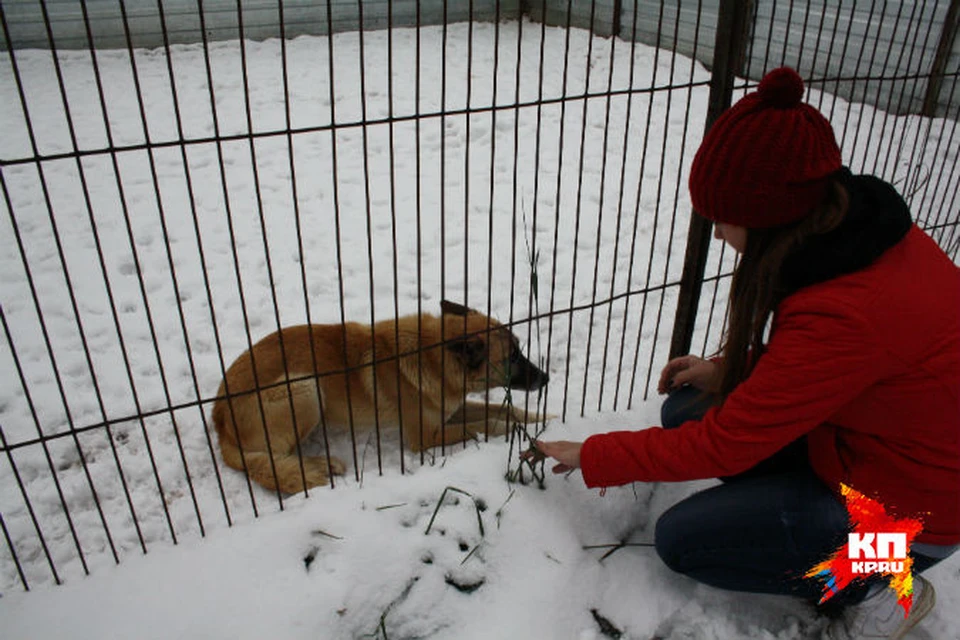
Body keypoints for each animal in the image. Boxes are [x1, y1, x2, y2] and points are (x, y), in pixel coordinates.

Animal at [214, 302, 552, 496]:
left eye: (519, 349)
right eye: (512, 356)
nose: (546, 378)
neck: (433, 357)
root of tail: (218, 417)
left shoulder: (450, 409)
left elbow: (504, 408)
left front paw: (545, 418)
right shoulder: (427, 436)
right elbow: (488, 424)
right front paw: (520, 432)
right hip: (305, 388)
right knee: (272, 458)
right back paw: (320, 464)